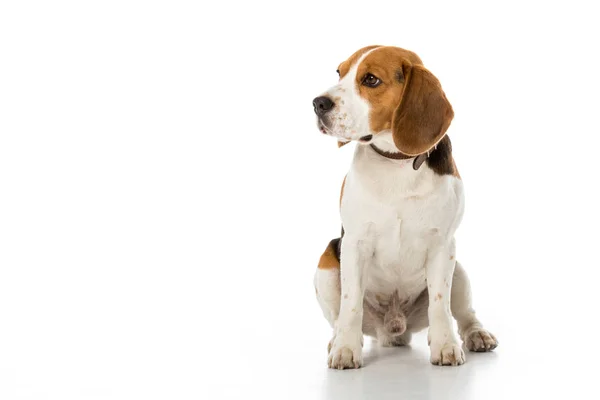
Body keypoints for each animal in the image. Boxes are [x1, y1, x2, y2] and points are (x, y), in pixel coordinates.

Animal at [314, 44, 496, 368]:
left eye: (371, 79)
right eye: (339, 72)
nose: (317, 104)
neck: (396, 161)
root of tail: (393, 327)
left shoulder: (442, 244)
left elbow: (440, 304)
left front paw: (446, 346)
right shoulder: (354, 243)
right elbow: (351, 304)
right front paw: (346, 349)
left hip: (459, 270)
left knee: (463, 313)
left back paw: (476, 335)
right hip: (326, 263)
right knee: (340, 316)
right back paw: (338, 340)